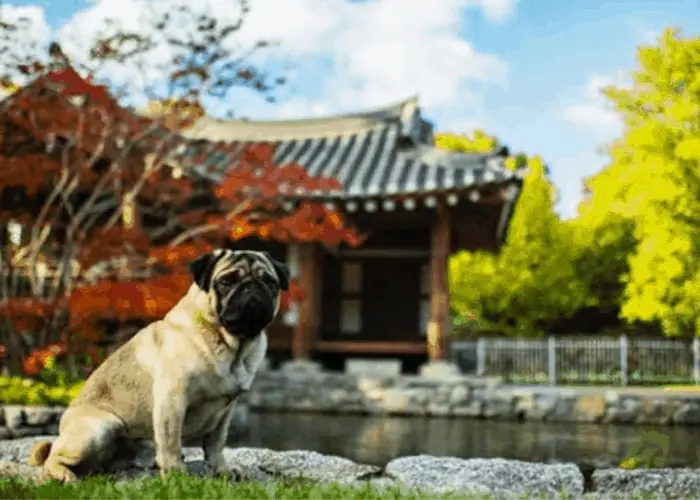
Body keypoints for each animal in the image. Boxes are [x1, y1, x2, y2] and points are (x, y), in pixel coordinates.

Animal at [28, 248, 288, 482]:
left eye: (270, 282)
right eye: (226, 281)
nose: (252, 288)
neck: (230, 343)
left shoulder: (226, 410)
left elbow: (216, 444)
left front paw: (222, 470)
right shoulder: (172, 401)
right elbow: (171, 442)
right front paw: (176, 475)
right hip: (100, 428)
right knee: (52, 458)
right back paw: (65, 475)